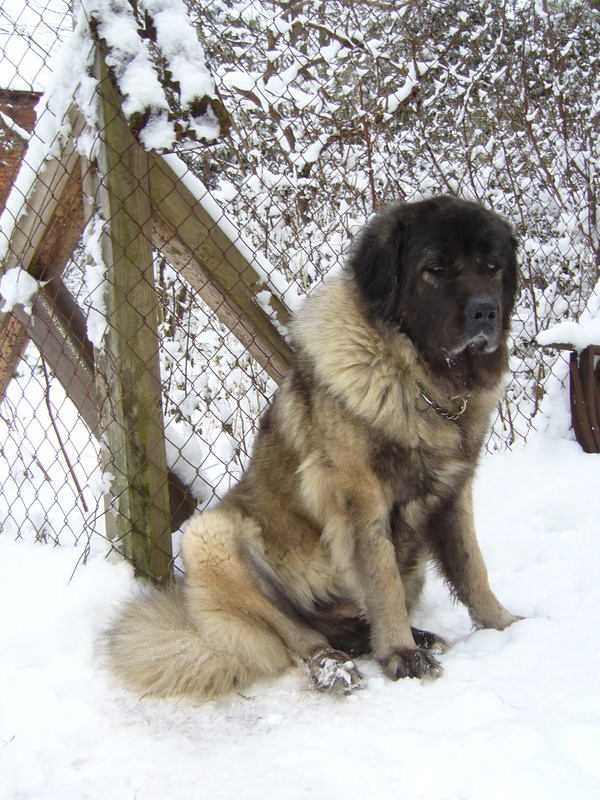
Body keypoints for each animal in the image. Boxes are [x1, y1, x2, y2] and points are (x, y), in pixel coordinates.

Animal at [105, 195, 521, 699]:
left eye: (493, 266)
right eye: (435, 269)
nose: (485, 313)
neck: (417, 381)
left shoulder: (454, 491)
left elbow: (471, 566)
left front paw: (504, 625)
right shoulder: (361, 497)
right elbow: (382, 581)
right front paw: (402, 657)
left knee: (349, 627)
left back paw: (409, 637)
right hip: (210, 538)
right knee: (299, 635)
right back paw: (335, 666)